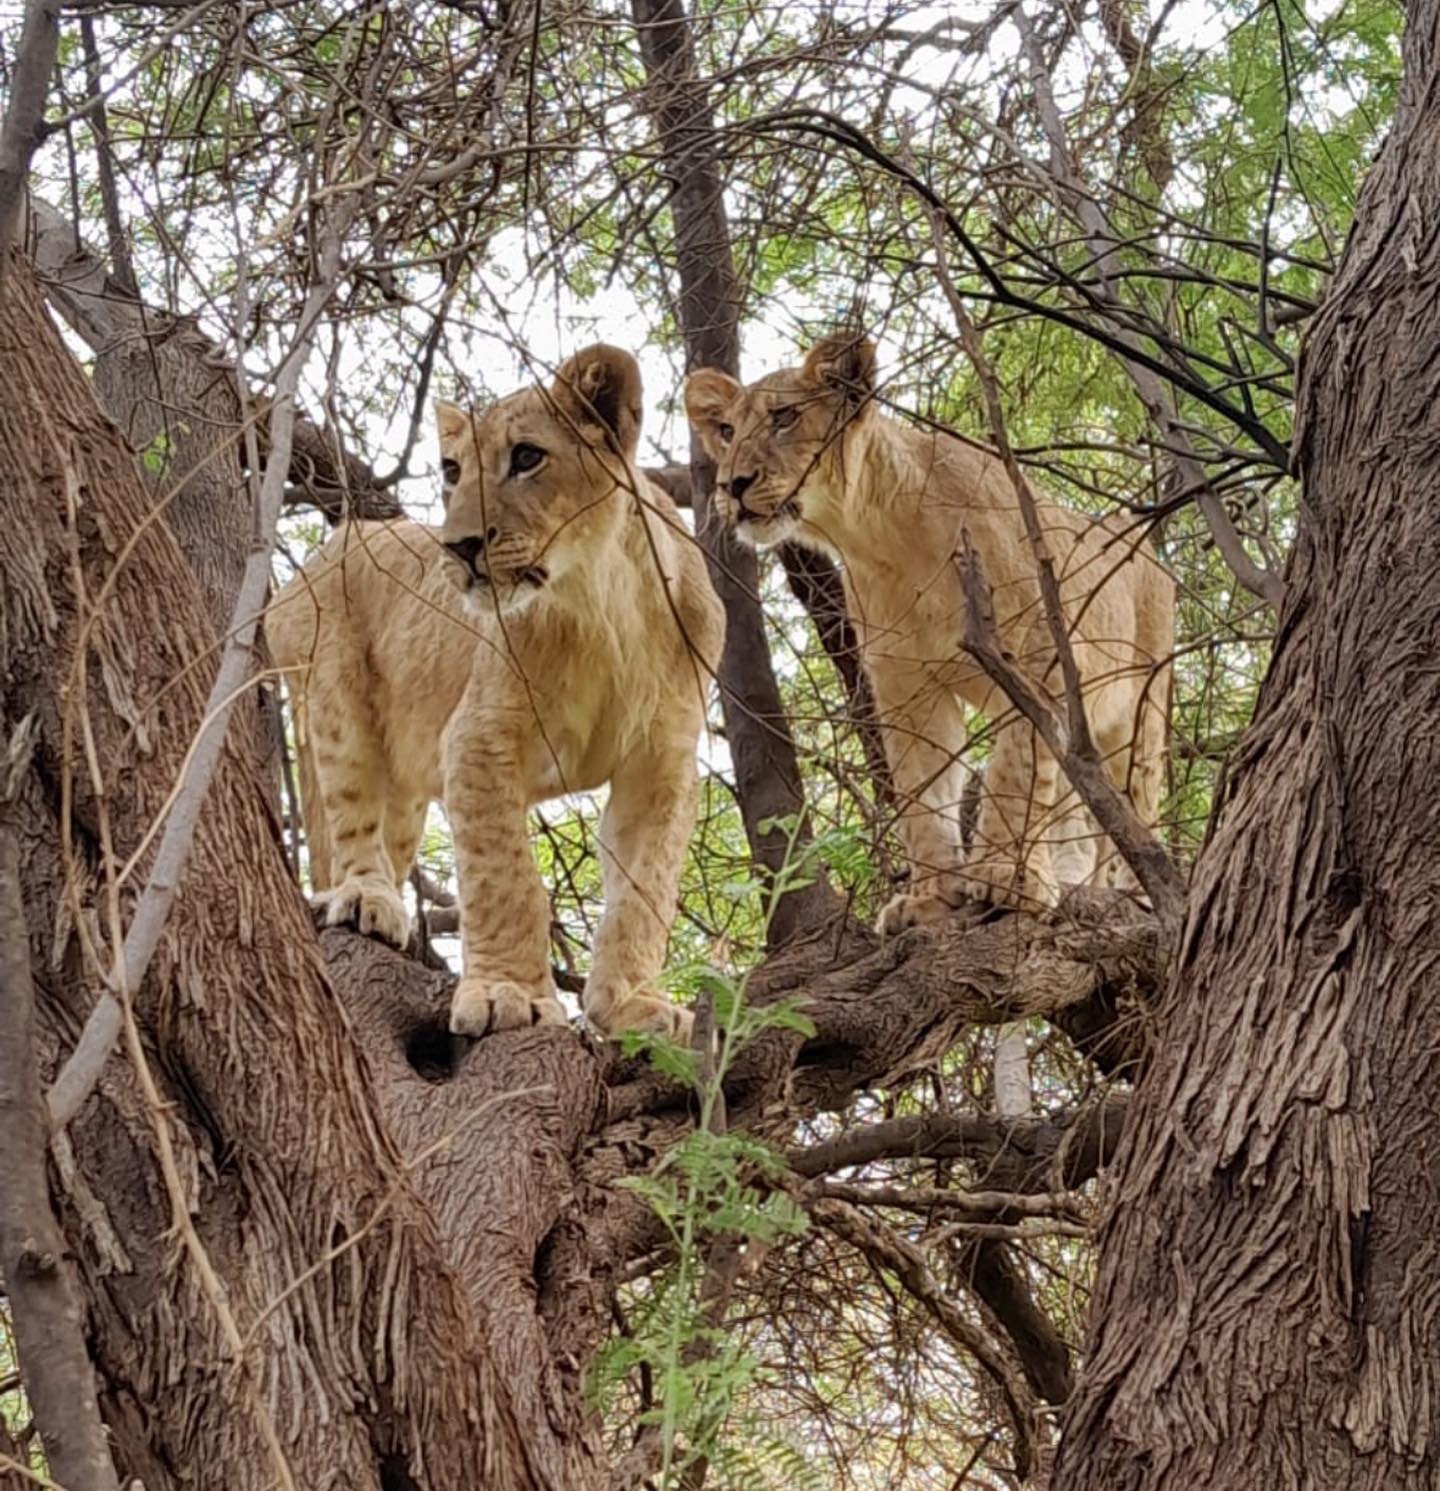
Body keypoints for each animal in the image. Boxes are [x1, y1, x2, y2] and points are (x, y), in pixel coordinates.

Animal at [268, 345, 724, 1038]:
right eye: (453, 470)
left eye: (528, 457)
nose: (459, 546)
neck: (601, 604)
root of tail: (335, 542)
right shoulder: (480, 737)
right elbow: (506, 875)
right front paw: (508, 994)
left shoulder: (662, 761)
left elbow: (646, 888)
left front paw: (628, 1006)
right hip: (334, 695)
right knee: (349, 819)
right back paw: (364, 897)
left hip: (410, 771)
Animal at [684, 333, 1173, 930]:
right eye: (726, 431)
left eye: (784, 417)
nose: (732, 485)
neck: (878, 537)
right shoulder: (906, 684)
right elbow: (924, 791)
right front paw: (930, 902)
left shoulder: (1035, 655)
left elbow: (1018, 768)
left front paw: (1008, 878)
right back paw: (1073, 876)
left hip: (1139, 711)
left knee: (1135, 797)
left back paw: (1133, 891)